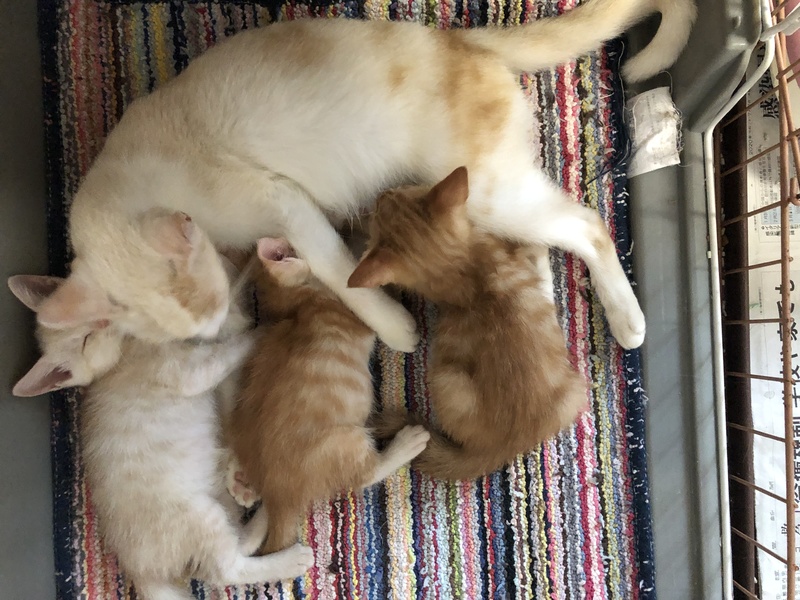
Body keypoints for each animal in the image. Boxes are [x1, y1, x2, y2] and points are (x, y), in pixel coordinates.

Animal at [9, 259, 314, 600]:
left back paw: (260, 515)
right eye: (87, 339)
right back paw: (288, 554)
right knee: (224, 571)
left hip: (216, 504)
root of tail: (136, 568)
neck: (125, 351)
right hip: (199, 514)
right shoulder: (189, 373)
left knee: (233, 546)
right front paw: (262, 330)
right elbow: (229, 350)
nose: (105, 320)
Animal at [35, 0, 696, 353]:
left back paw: (627, 318)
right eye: (203, 326)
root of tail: (463, 42)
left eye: (214, 304)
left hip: (489, 193)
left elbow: (335, 267)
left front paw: (393, 326)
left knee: (587, 224)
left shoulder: (284, 199)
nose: (232, 324)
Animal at [228, 238, 430, 553]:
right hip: (346, 443)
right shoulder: (354, 314)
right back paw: (407, 443)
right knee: (365, 475)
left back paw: (242, 483)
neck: (300, 303)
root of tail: (279, 494)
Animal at [348, 167, 588, 480]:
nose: (381, 193)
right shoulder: (533, 280)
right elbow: (542, 275)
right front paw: (540, 247)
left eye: (403, 191)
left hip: (570, 396)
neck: (466, 274)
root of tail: (498, 450)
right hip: (450, 379)